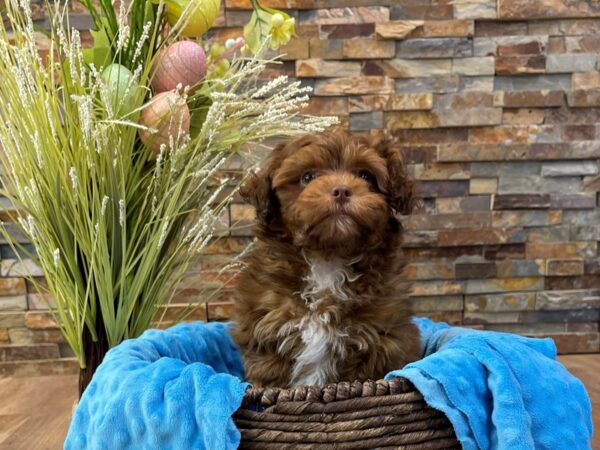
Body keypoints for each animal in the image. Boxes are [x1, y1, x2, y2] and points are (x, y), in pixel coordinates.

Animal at [231, 127, 422, 386]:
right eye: (308, 177)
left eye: (365, 176)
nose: (341, 191)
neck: (328, 257)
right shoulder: (268, 331)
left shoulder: (378, 339)